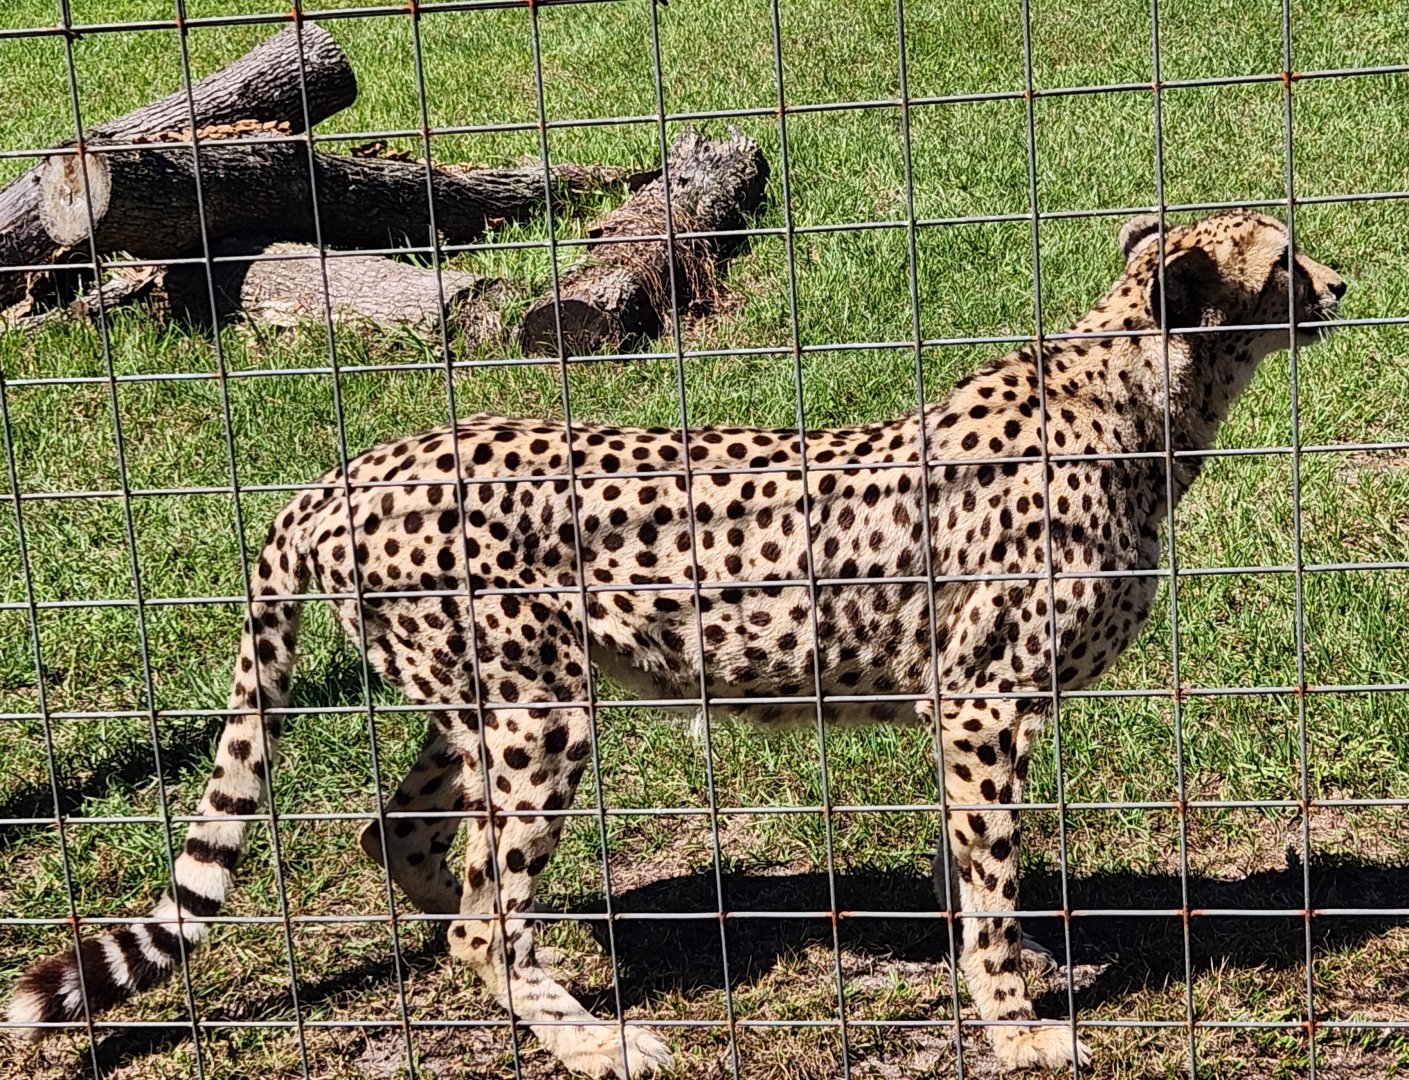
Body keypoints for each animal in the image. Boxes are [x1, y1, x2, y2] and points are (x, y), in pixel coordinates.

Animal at [9, 211, 1345, 1075]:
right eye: (1281, 259)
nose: (1340, 282)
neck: (1140, 398)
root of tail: (338, 476)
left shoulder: (966, 711)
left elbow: (970, 872)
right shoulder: (981, 705)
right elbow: (989, 885)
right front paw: (1016, 1026)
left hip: (490, 700)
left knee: (410, 845)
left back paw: (511, 968)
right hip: (540, 714)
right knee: (485, 900)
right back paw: (591, 1037)